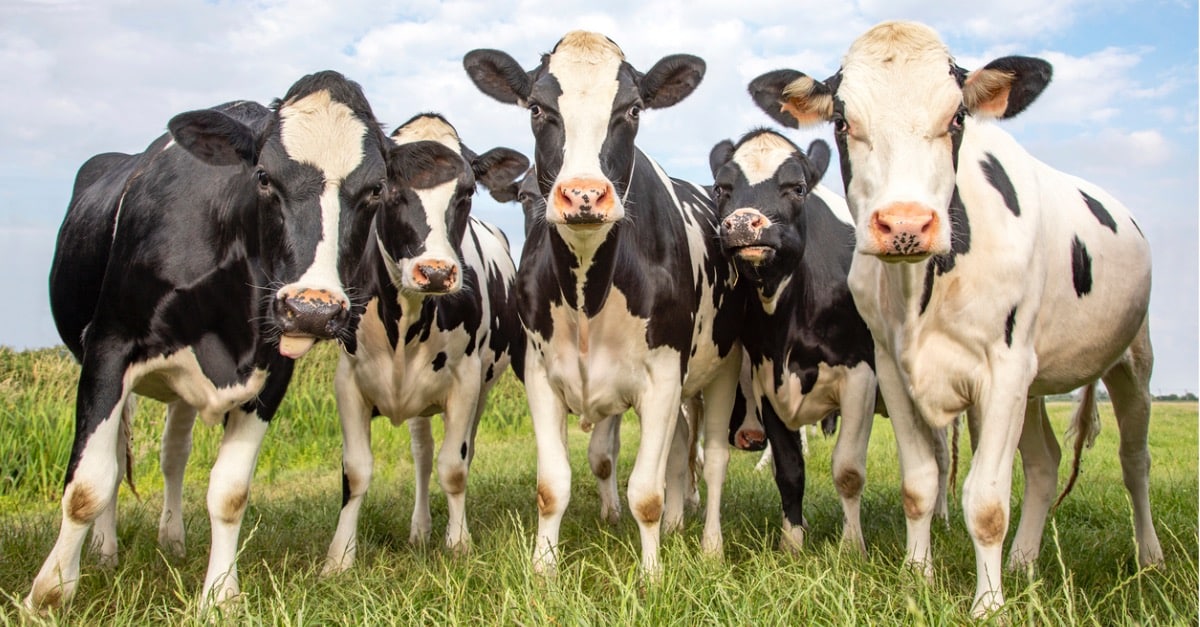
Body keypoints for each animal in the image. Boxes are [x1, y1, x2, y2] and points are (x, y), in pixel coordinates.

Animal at [32, 69, 388, 610]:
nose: (313, 309)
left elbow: (230, 491)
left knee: (172, 454)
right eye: (263, 177)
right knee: (115, 456)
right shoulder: (108, 346)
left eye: (375, 190)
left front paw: (220, 594)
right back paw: (106, 551)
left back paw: (173, 539)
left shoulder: (271, 371)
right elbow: (87, 483)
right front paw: (50, 592)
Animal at [321, 112, 528, 571]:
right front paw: (339, 558)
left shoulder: (466, 380)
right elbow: (356, 470)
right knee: (421, 455)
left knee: (454, 452)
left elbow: (454, 466)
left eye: (467, 191)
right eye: (384, 188)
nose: (435, 272)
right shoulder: (348, 380)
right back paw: (419, 529)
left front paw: (459, 543)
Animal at [463, 31, 744, 574]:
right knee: (681, 448)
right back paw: (677, 525)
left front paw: (652, 576)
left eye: (632, 109)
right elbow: (553, 486)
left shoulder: (663, 377)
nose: (584, 195)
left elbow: (647, 493)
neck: (586, 294)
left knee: (714, 458)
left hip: (723, 367)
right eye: (537, 108)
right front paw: (543, 570)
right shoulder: (539, 374)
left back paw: (711, 545)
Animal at [705, 130, 878, 552]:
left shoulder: (860, 375)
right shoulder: (769, 382)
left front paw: (853, 547)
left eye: (797, 188)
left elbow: (848, 469)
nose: (742, 223)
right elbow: (789, 470)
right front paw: (792, 544)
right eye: (721, 188)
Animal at [748, 20, 1161, 614]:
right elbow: (918, 482)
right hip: (1035, 385)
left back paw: (1148, 556)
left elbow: (986, 502)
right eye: (844, 121)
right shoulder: (892, 368)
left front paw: (988, 605)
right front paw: (915, 576)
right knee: (1044, 464)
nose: (904, 224)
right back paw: (1024, 560)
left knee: (1135, 460)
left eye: (957, 118)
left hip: (1132, 362)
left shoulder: (1003, 369)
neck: (920, 291)